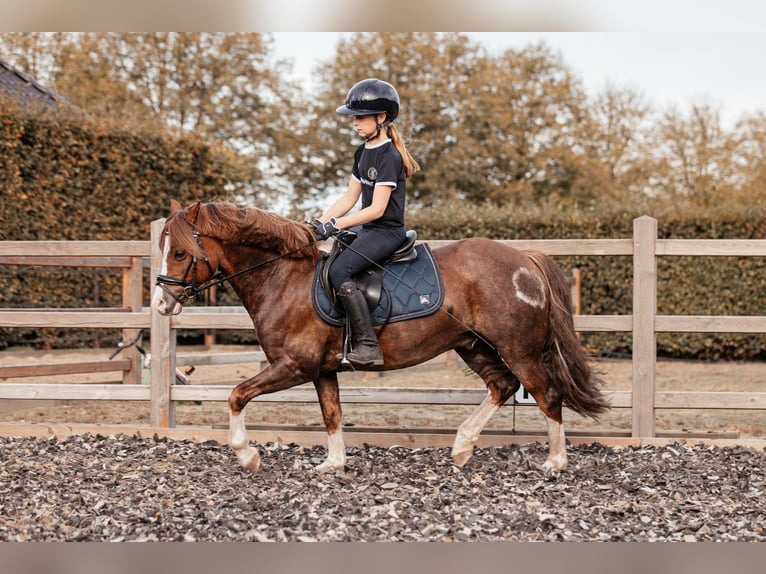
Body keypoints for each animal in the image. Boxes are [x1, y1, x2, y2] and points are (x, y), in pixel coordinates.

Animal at [153, 201, 612, 476]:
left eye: (179, 252)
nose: (161, 303)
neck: (282, 278)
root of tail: (525, 260)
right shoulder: (321, 370)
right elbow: (332, 414)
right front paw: (333, 464)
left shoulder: (295, 365)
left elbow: (236, 395)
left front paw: (247, 455)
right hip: (473, 345)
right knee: (502, 386)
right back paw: (462, 447)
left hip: (519, 349)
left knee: (546, 394)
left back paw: (555, 461)